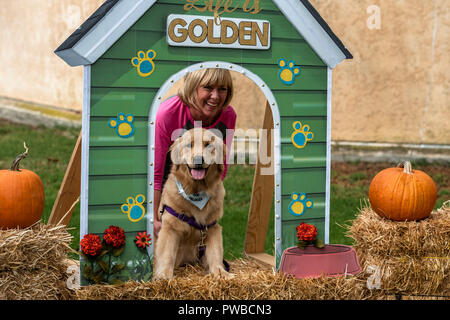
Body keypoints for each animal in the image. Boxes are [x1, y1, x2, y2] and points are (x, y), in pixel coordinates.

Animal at [154, 127, 232, 280]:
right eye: (189, 145)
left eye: (208, 145)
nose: (198, 159)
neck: (196, 192)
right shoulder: (170, 227)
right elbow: (166, 254)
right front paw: (164, 276)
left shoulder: (213, 228)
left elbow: (215, 254)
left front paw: (221, 273)